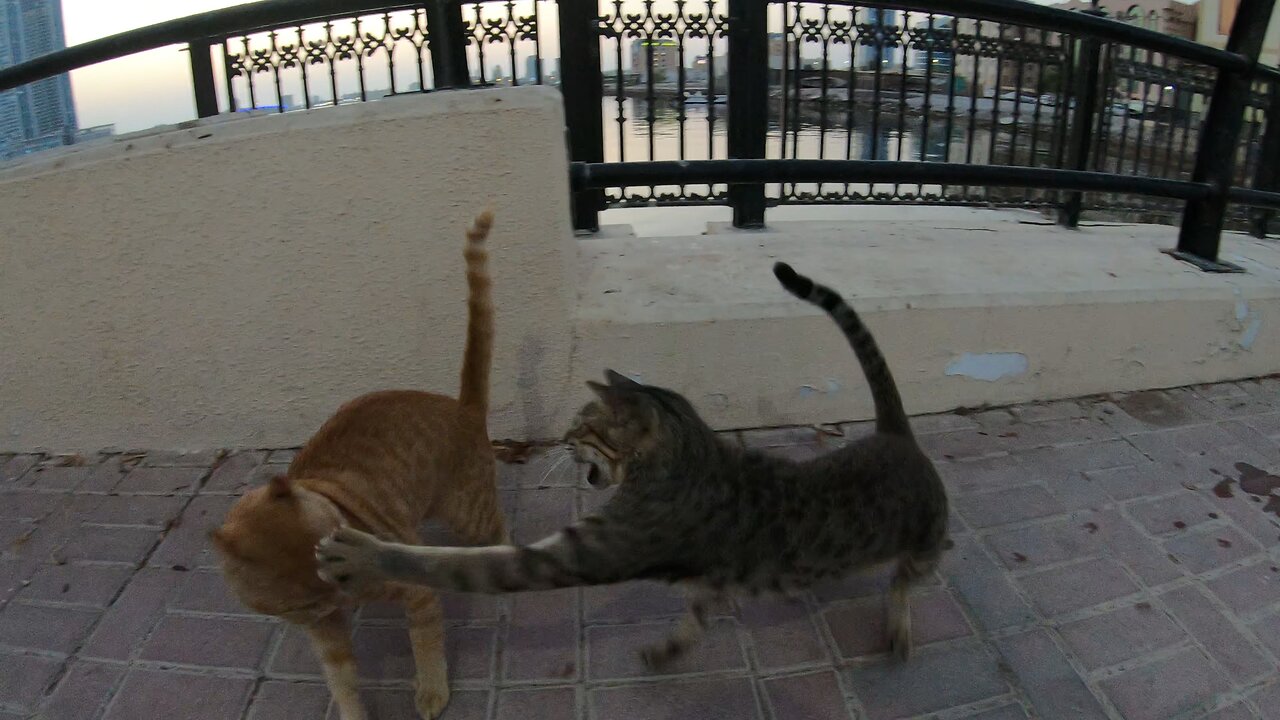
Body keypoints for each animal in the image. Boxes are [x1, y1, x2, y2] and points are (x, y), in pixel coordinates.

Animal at [212, 210, 506, 717]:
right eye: (305, 603)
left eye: (331, 549)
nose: (348, 598)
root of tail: (461, 406)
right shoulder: (323, 629)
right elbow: (343, 681)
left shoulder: (415, 593)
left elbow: (426, 645)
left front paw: (431, 691)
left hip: (469, 514)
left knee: (500, 527)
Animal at [314, 260, 947, 666]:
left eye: (581, 424)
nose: (561, 438)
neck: (691, 453)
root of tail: (896, 435)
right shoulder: (701, 578)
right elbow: (699, 611)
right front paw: (672, 645)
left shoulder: (585, 550)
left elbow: (447, 562)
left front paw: (359, 552)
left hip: (926, 545)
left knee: (905, 582)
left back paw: (899, 625)